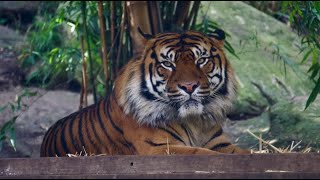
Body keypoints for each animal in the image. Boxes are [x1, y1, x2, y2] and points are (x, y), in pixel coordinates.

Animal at [40, 28, 250, 157]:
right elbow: (203, 154)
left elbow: (245, 152)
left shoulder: (220, 143)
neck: (194, 121)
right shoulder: (158, 148)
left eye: (202, 60)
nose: (189, 86)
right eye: (168, 64)